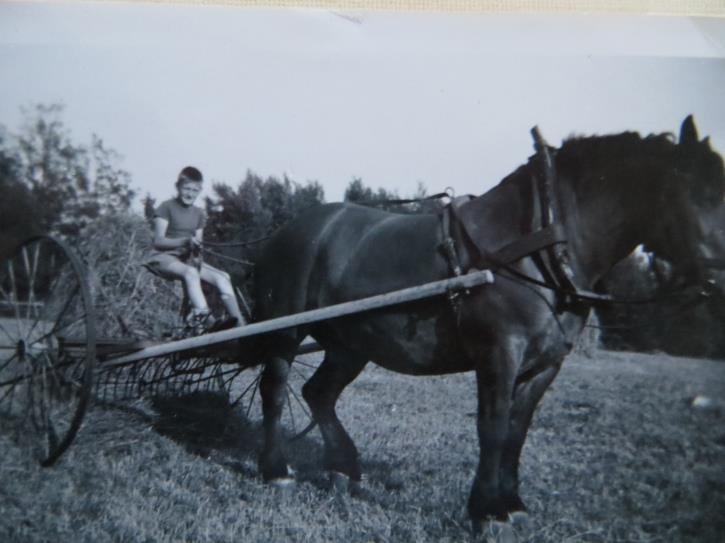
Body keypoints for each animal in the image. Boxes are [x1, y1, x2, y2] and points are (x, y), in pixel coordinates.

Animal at [247, 117, 720, 528]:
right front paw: (485, 510)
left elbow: (516, 431)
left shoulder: (546, 363)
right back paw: (276, 470)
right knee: (276, 388)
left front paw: (511, 503)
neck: (541, 245)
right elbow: (491, 428)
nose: (720, 277)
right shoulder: (499, 351)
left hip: (351, 344)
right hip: (285, 331)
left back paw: (344, 469)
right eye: (699, 192)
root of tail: (289, 230)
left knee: (319, 392)